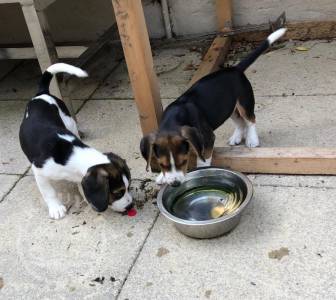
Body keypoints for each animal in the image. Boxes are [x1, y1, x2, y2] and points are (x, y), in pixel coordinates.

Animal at [19, 63, 133, 219]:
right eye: (118, 193)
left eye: (129, 187)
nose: (130, 206)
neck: (72, 156)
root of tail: (42, 94)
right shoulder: (39, 170)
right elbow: (49, 192)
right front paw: (56, 208)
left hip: (70, 123)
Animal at [140, 28, 288, 185]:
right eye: (162, 165)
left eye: (183, 162)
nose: (175, 184)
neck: (173, 118)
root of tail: (235, 69)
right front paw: (162, 176)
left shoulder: (208, 138)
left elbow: (203, 160)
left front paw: (202, 171)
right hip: (228, 108)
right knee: (240, 122)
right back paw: (236, 138)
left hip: (244, 103)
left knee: (250, 120)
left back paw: (252, 140)